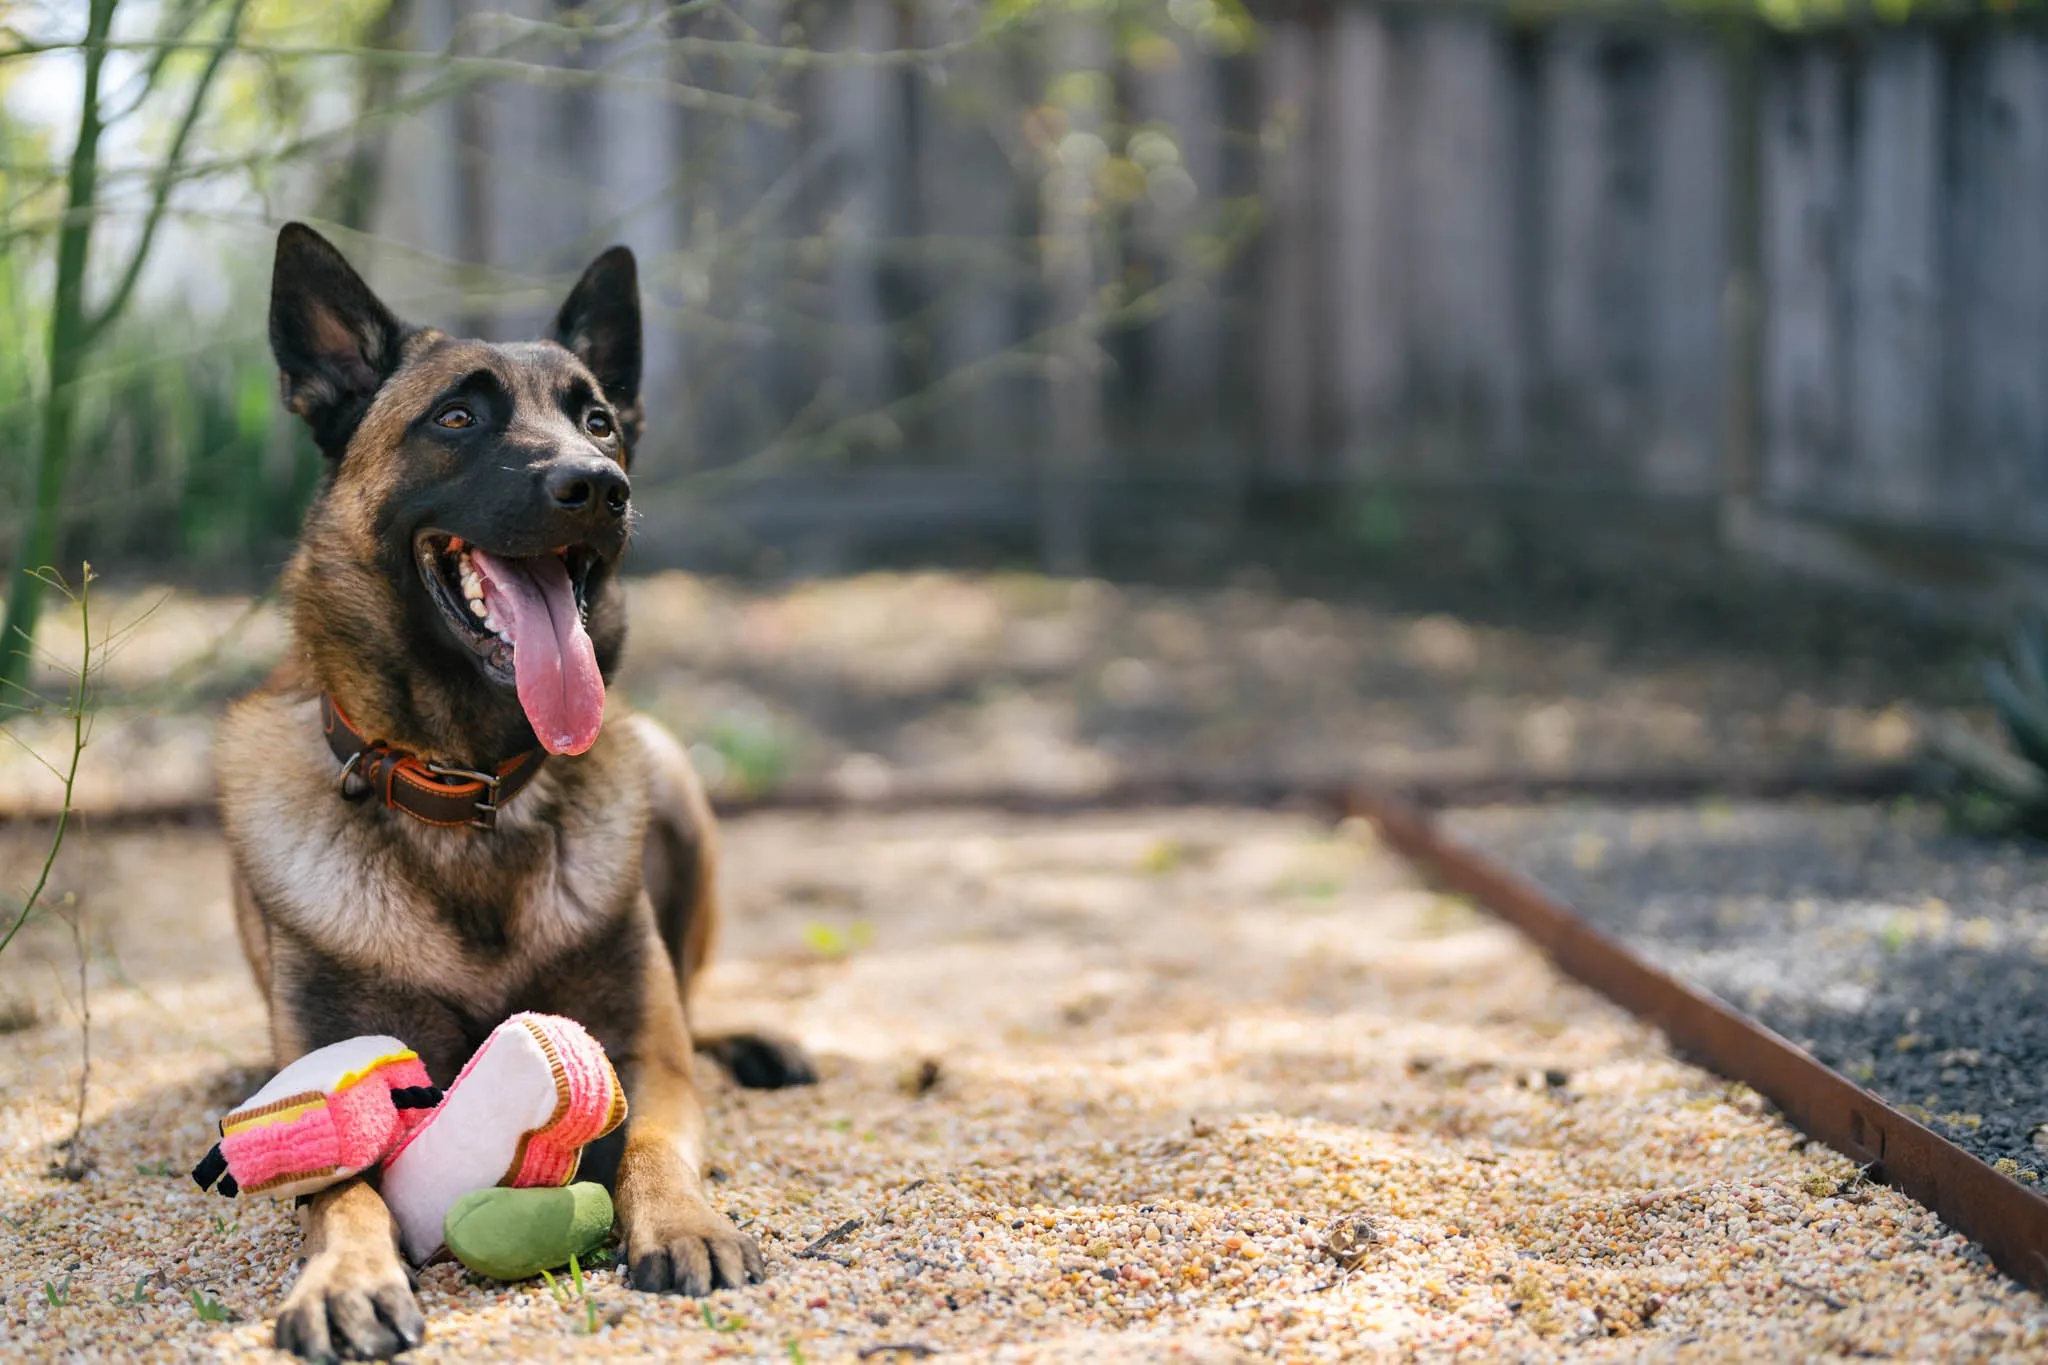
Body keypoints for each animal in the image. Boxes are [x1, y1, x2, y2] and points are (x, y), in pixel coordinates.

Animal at [216, 222, 806, 1358]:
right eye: (456, 417)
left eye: (598, 420)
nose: (599, 485)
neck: (469, 789)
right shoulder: (326, 1060)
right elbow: (342, 1185)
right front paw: (345, 1278)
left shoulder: (645, 1054)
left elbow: (657, 1137)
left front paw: (686, 1224)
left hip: (675, 777)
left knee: (698, 1002)